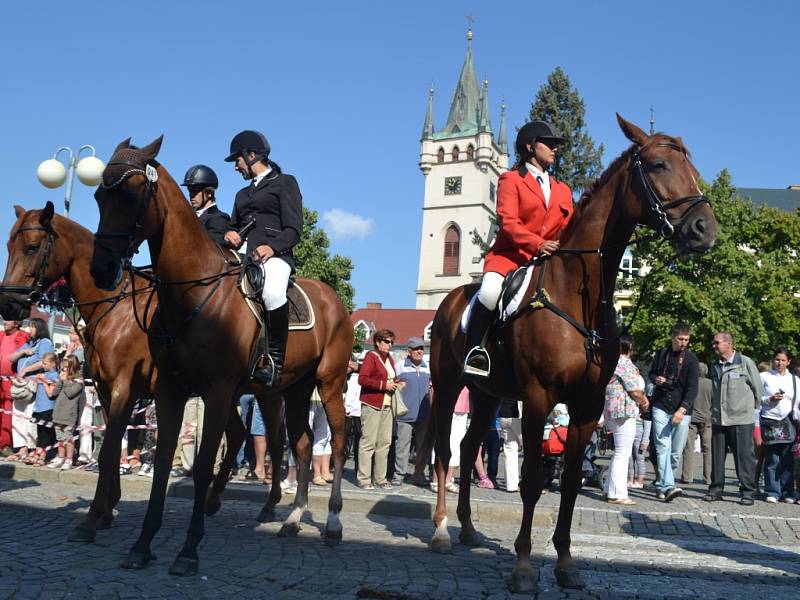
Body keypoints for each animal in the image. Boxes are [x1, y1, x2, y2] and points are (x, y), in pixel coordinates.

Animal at [0, 203, 247, 544]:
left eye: (33, 247)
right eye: (9, 246)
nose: (9, 306)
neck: (118, 311)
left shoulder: (123, 389)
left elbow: (108, 452)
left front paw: (92, 518)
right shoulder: (107, 392)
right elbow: (112, 447)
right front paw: (106, 509)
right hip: (225, 393)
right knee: (239, 435)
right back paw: (215, 500)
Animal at [89, 136, 352, 576]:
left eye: (131, 195)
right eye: (97, 197)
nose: (102, 268)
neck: (191, 292)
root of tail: (335, 299)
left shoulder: (216, 391)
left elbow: (201, 468)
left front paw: (188, 550)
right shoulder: (171, 390)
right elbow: (164, 465)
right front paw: (143, 544)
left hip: (328, 384)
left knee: (336, 443)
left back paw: (332, 523)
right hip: (295, 389)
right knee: (299, 446)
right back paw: (294, 519)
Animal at [428, 115, 720, 592]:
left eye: (692, 168)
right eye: (659, 165)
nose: (704, 230)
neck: (577, 293)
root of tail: (451, 297)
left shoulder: (587, 405)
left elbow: (566, 484)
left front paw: (565, 563)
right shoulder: (538, 399)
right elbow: (531, 480)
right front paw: (523, 566)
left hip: (488, 395)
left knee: (470, 450)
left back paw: (468, 529)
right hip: (450, 386)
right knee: (445, 452)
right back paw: (439, 530)